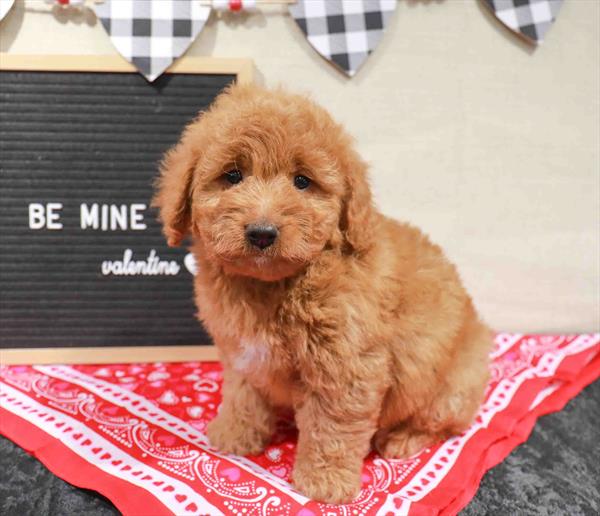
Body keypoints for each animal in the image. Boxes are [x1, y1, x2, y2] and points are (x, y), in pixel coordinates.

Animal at [154, 84, 492, 504]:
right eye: (232, 175)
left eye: (302, 182)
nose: (262, 233)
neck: (274, 284)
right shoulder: (241, 352)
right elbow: (242, 394)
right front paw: (234, 434)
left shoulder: (346, 366)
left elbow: (333, 426)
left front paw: (325, 482)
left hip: (452, 385)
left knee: (443, 421)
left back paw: (402, 438)